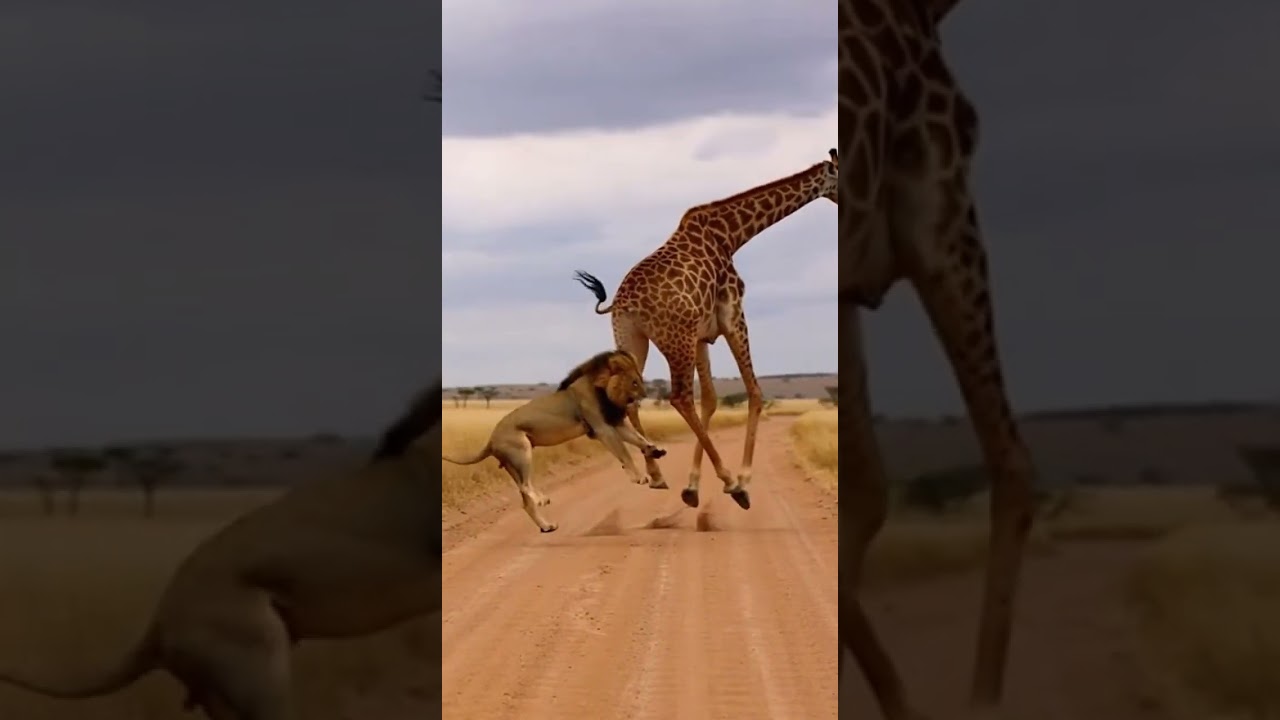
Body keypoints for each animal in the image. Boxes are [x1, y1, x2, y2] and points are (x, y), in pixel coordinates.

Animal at [573, 153, 838, 511]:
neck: (731, 234)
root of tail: (622, 302)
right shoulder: (733, 315)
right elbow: (754, 392)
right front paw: (741, 479)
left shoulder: (701, 335)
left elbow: (710, 400)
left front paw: (693, 486)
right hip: (675, 339)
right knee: (680, 396)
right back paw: (730, 482)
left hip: (631, 337)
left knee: (631, 398)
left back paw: (657, 475)